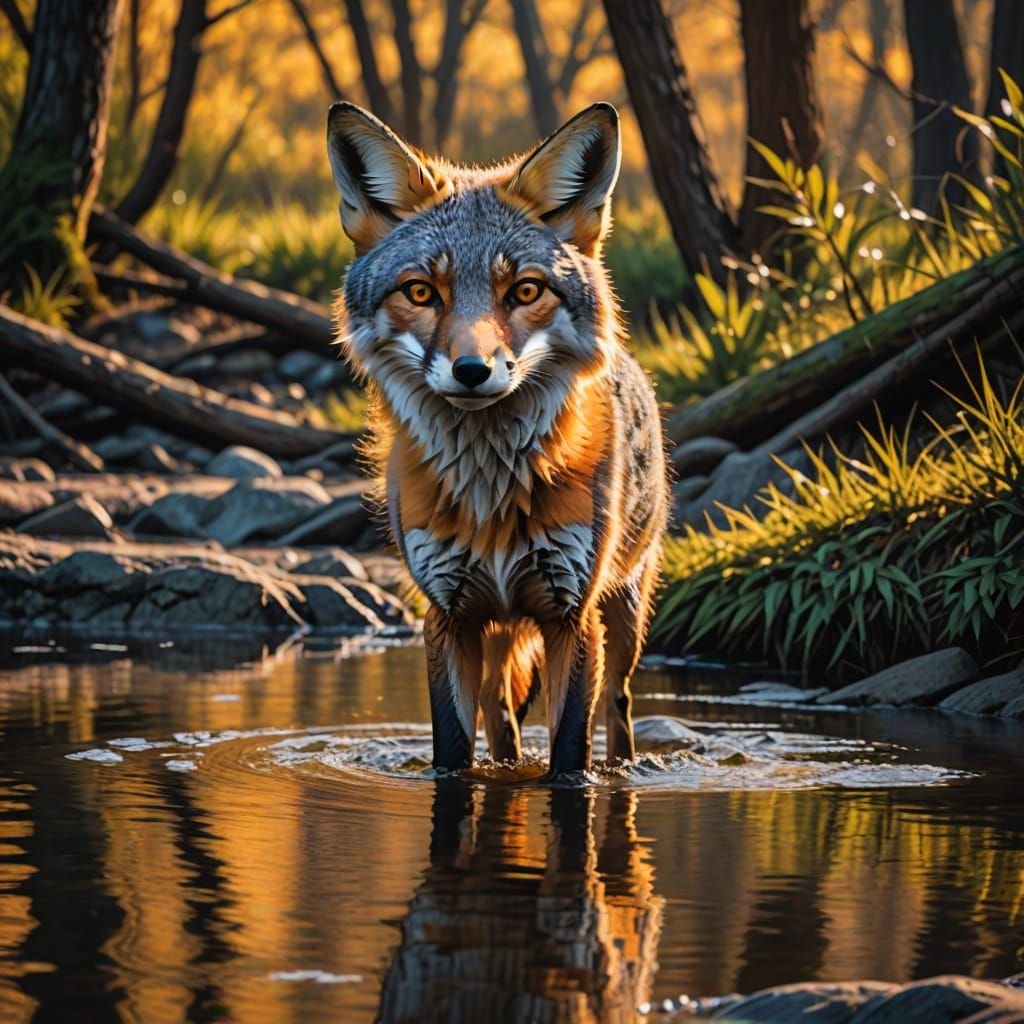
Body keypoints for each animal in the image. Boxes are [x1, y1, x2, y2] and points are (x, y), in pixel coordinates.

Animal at [327, 100, 668, 773]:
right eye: (421, 291)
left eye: (525, 290)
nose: (472, 371)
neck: (493, 500)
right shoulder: (448, 616)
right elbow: (454, 753)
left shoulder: (571, 614)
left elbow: (571, 754)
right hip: (497, 630)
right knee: (499, 712)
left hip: (623, 613)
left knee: (617, 705)